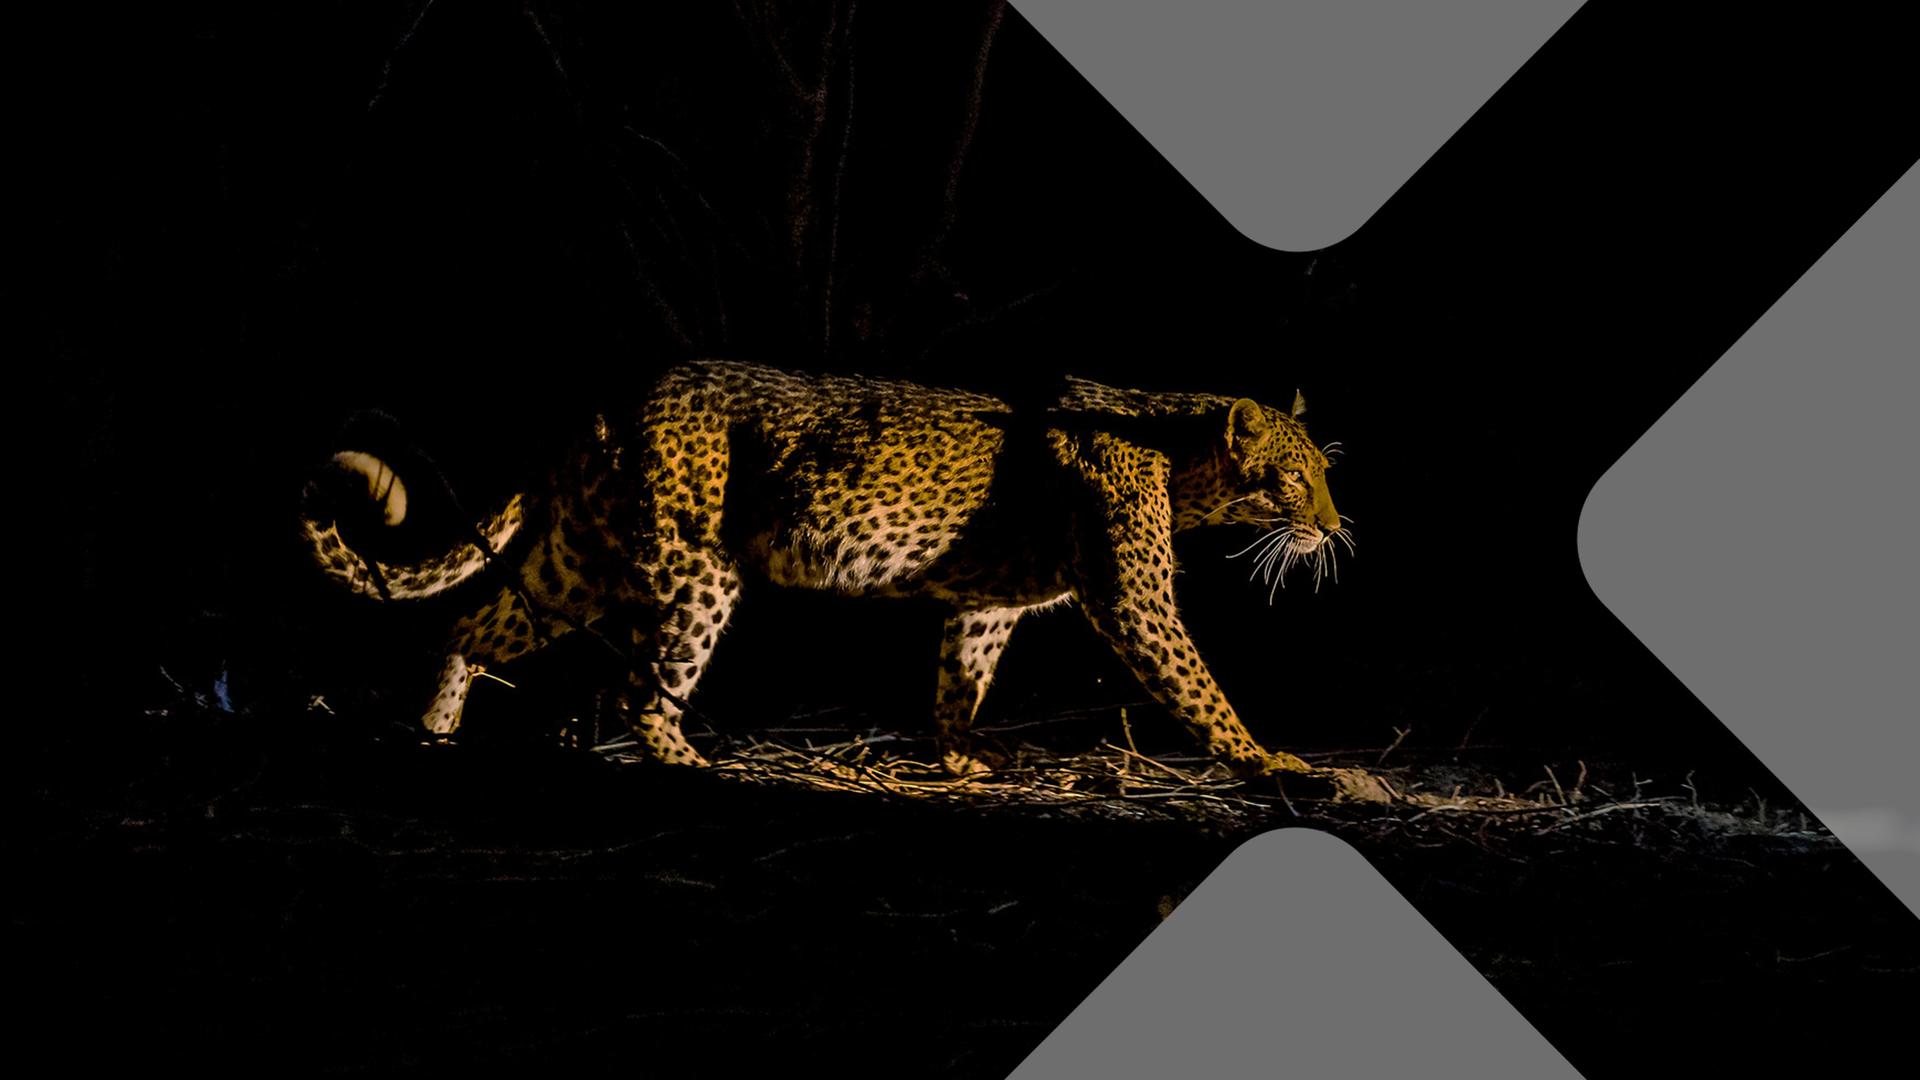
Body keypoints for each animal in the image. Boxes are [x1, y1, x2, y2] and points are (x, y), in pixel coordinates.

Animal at [300, 359, 1353, 785]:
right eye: (1296, 477)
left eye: (1324, 473)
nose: (1338, 528)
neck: (1181, 453)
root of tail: (601, 399)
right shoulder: (1132, 596)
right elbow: (1198, 683)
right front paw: (1267, 760)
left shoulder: (988, 603)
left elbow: (962, 678)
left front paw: (959, 759)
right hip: (692, 569)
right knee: (644, 687)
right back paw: (693, 762)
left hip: (579, 559)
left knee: (468, 626)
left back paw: (432, 734)